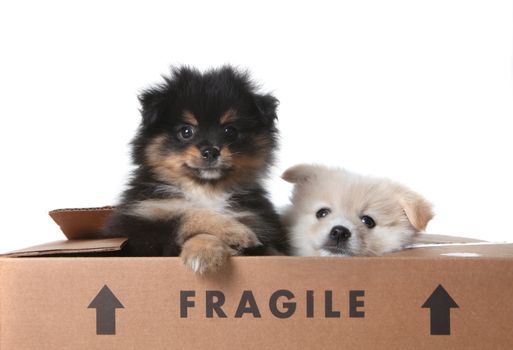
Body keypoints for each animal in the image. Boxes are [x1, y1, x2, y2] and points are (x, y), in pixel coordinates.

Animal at [103, 65, 288, 274]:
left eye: (230, 131)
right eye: (186, 131)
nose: (210, 151)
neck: (205, 189)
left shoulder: (261, 226)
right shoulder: (139, 228)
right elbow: (187, 214)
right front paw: (227, 237)